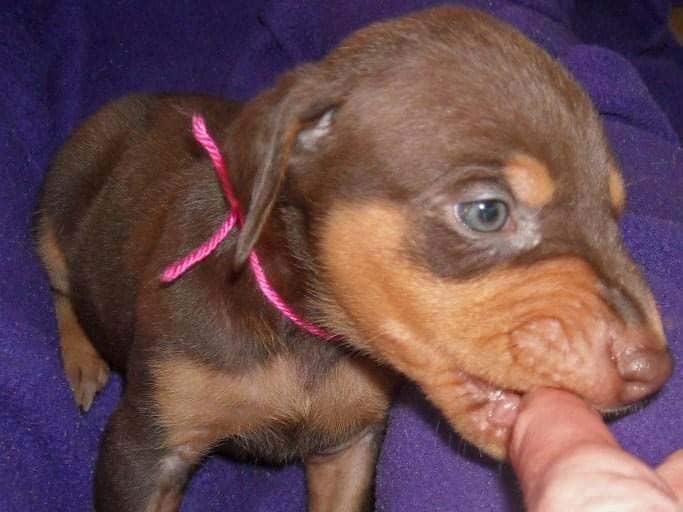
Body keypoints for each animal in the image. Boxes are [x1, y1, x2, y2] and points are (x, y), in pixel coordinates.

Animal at [33, 5, 672, 512]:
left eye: (613, 213)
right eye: (487, 212)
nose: (655, 371)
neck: (307, 333)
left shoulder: (350, 445)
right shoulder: (144, 449)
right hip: (57, 210)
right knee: (61, 283)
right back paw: (83, 357)